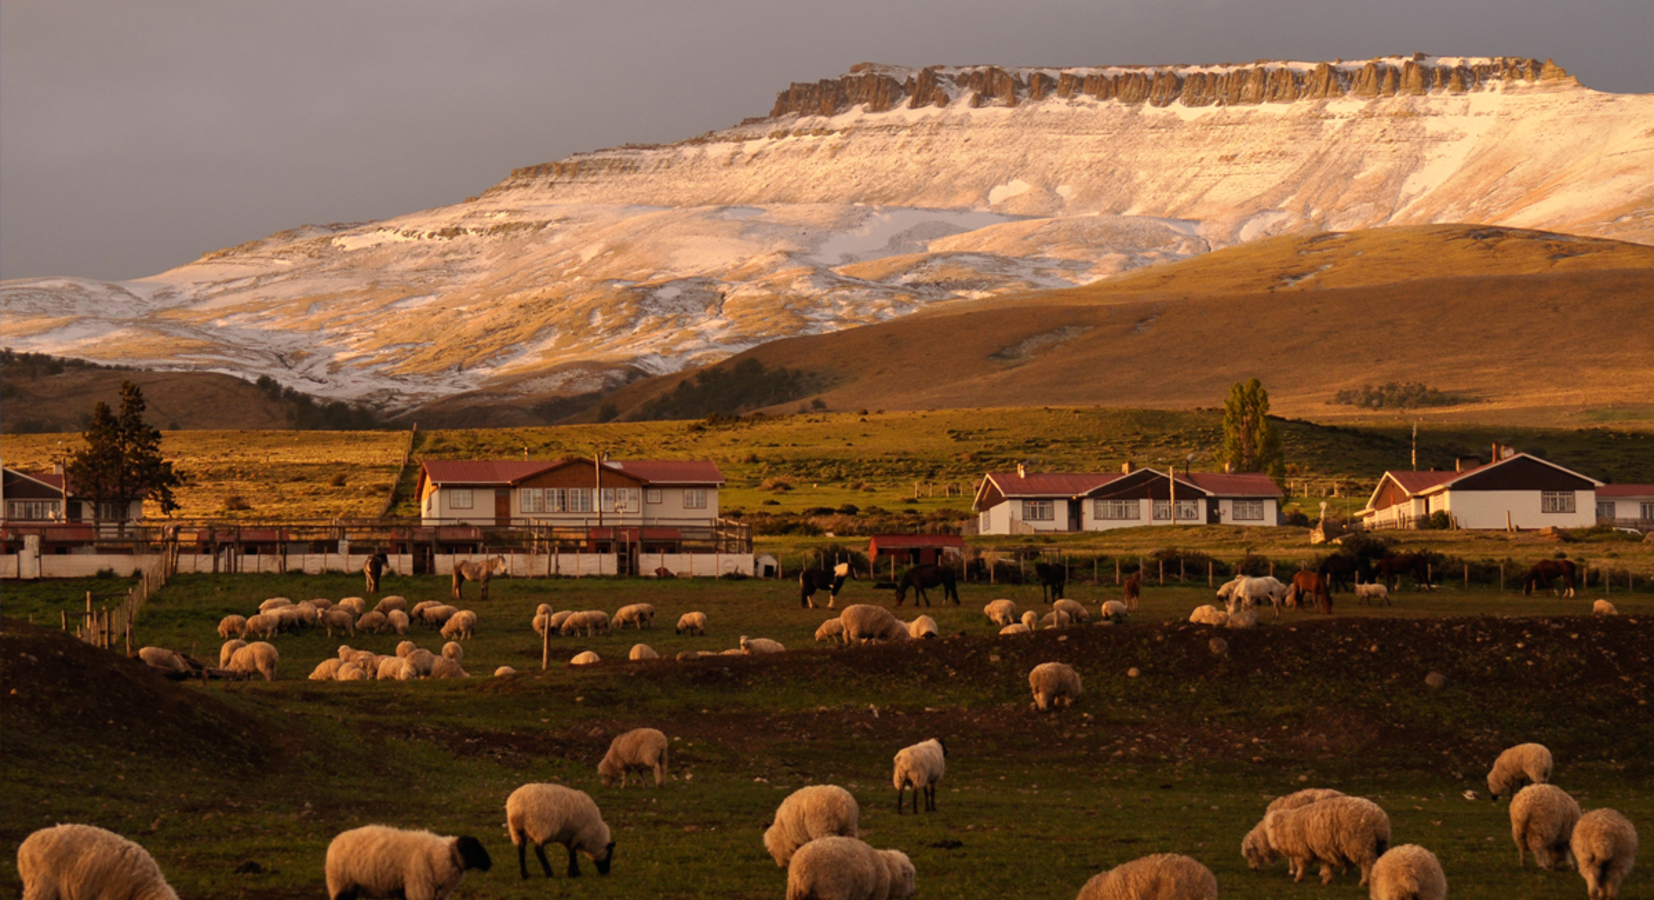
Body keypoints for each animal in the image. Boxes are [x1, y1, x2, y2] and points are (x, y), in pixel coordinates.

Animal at [780, 837, 913, 900]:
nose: (912, 893)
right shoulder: (876, 896)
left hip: (794, 895)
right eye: (910, 875)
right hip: (830, 893)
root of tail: (804, 873)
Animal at [1257, 794, 1389, 886]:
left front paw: (1298, 878)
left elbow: (1302, 865)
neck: (1288, 827)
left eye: (1268, 827)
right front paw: (1327, 879)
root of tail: (1379, 819)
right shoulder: (1321, 848)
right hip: (1381, 844)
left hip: (1360, 843)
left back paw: (1364, 881)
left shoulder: (1304, 850)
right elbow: (1325, 864)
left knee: (1367, 863)